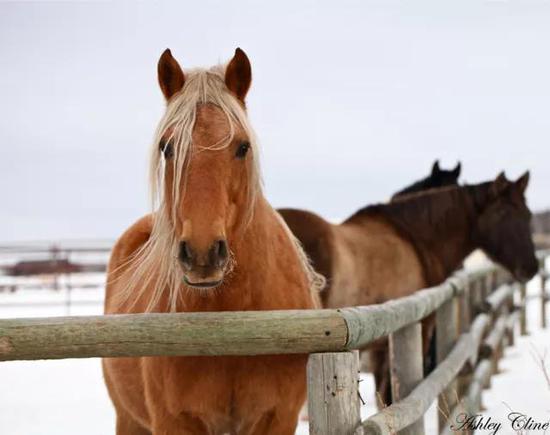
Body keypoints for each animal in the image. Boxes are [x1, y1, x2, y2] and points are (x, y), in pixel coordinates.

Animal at [103, 48, 324, 435]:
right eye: (167, 147)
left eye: (243, 146)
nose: (202, 253)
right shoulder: (175, 422)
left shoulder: (279, 417)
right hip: (129, 419)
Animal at [280, 172, 540, 408]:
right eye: (504, 213)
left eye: (528, 214)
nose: (532, 266)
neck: (414, 238)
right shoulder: (417, 331)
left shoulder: (381, 347)